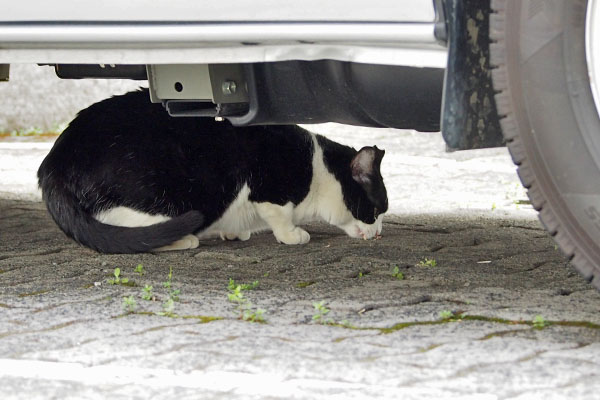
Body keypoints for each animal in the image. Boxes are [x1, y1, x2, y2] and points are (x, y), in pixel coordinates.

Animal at [37, 90, 386, 253]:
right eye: (375, 211)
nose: (380, 233)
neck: (317, 170)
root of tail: (54, 162)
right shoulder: (270, 187)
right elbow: (279, 216)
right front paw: (292, 235)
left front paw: (234, 232)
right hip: (159, 194)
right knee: (132, 235)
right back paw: (184, 239)